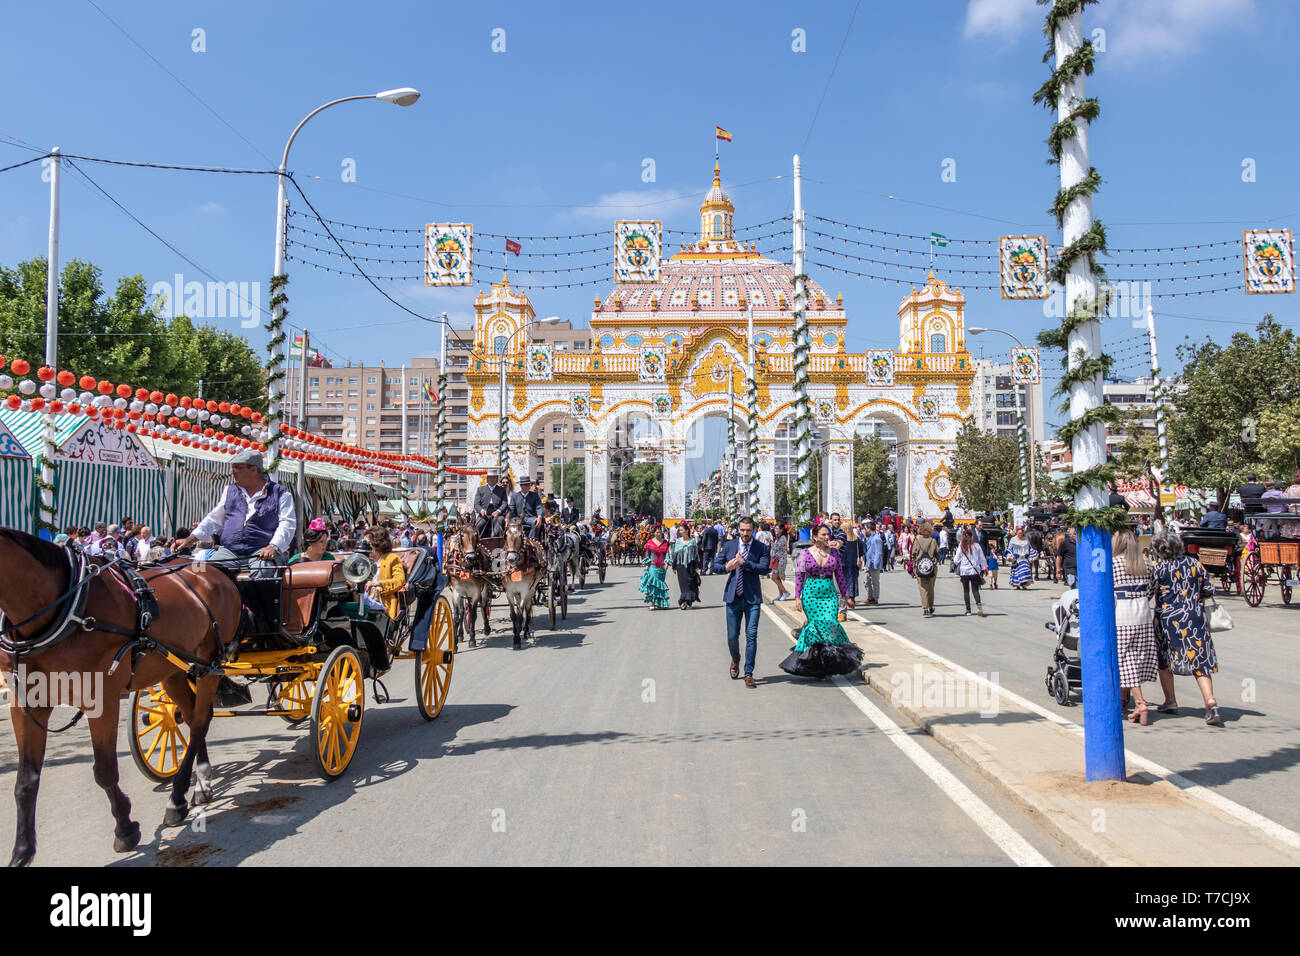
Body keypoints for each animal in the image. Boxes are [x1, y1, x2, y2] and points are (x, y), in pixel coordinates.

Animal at [0, 530, 241, 868]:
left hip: (209, 664)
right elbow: (25, 781)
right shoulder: (25, 706)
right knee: (196, 717)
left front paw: (125, 828)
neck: (65, 607)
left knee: (198, 723)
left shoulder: (101, 699)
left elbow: (104, 771)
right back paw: (200, 783)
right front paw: (21, 852)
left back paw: (176, 799)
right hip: (174, 669)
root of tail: (217, 572)